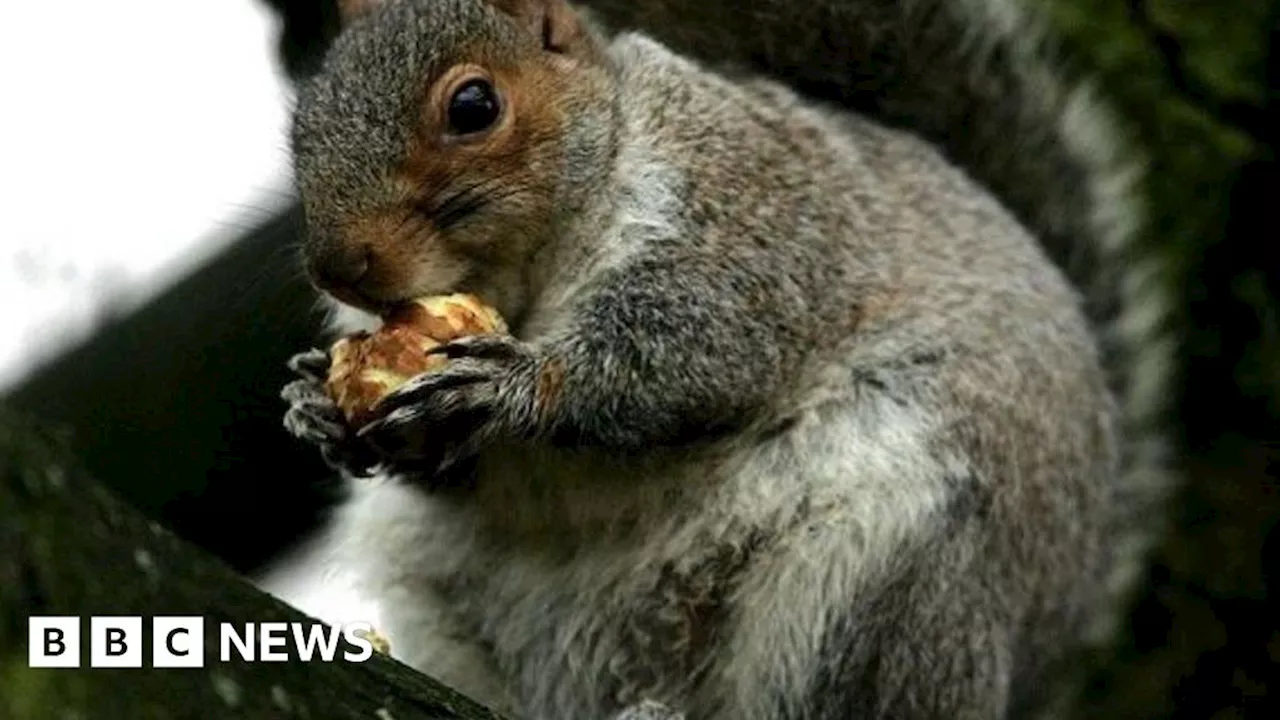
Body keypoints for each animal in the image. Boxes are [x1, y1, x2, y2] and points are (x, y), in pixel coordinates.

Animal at [270, 0, 1172, 712]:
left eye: (473, 105)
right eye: (302, 126)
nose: (339, 266)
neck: (528, 272)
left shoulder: (748, 215)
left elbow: (692, 352)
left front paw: (510, 386)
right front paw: (317, 408)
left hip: (883, 581)